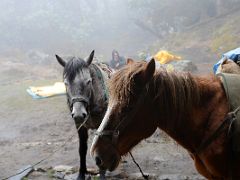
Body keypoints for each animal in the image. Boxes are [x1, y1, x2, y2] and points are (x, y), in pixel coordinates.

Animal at [55, 51, 110, 180]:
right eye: (66, 83)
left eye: (88, 81)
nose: (79, 114)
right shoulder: (80, 126)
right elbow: (82, 149)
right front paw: (81, 173)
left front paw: (102, 174)